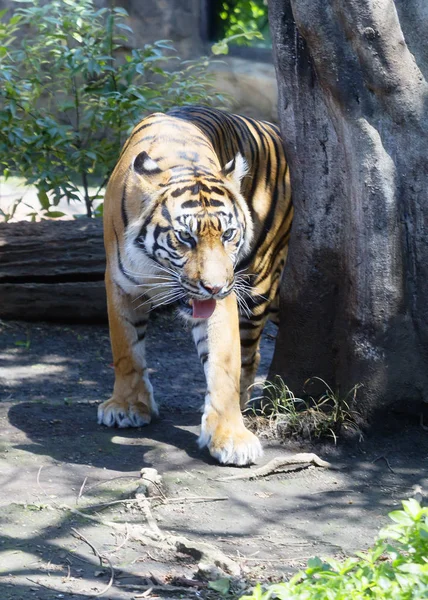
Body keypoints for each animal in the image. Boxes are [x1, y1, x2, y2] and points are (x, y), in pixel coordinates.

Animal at [98, 105, 292, 466]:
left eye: (228, 234)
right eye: (185, 237)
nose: (214, 287)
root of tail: (273, 128)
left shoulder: (226, 295)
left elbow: (224, 363)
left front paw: (230, 436)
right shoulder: (119, 283)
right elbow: (126, 349)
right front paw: (127, 407)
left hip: (259, 283)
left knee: (249, 355)